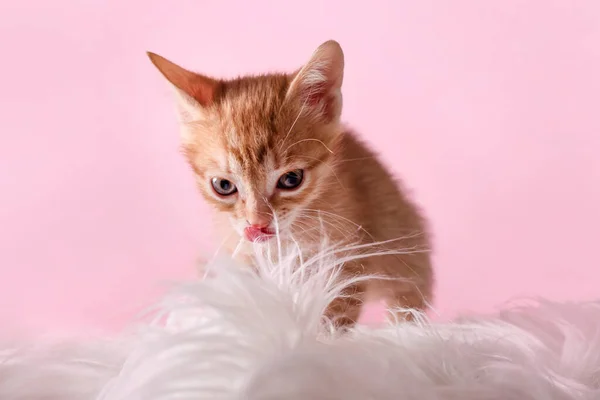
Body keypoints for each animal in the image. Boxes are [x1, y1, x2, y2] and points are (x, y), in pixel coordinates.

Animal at [148, 39, 434, 328]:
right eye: (223, 186)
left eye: (291, 179)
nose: (257, 224)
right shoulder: (245, 258)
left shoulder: (346, 261)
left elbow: (332, 317)